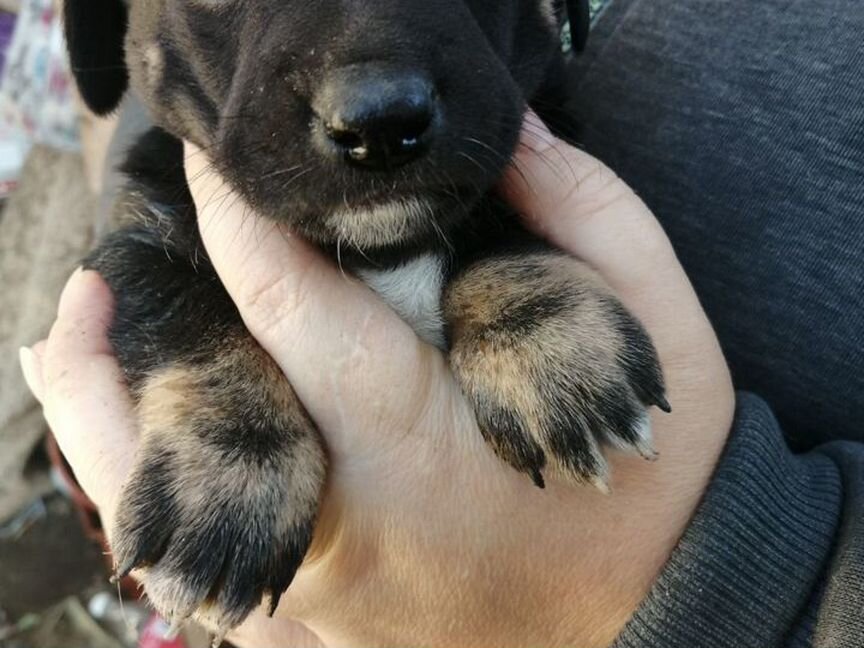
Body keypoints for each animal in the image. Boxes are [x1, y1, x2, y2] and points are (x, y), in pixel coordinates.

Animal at [62, 0, 668, 636]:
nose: (379, 124)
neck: (381, 251)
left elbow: (496, 216)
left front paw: (548, 344)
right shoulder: (137, 238)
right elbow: (191, 313)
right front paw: (230, 480)